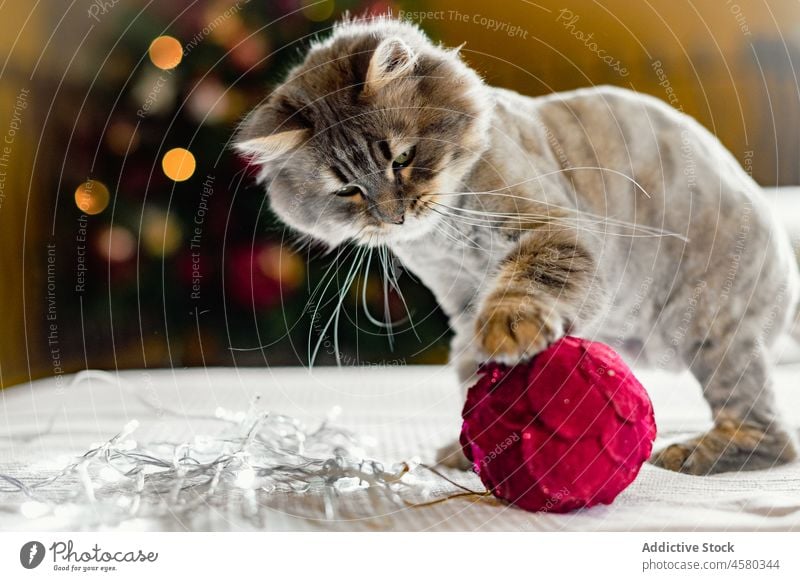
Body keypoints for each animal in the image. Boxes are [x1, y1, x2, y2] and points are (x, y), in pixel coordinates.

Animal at [234, 15, 800, 474]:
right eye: (348, 190)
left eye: (402, 158)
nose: (394, 215)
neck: (444, 234)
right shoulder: (462, 296)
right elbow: (471, 366)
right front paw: (480, 435)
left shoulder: (555, 230)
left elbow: (526, 285)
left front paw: (508, 329)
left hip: (714, 332)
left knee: (771, 437)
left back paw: (692, 453)